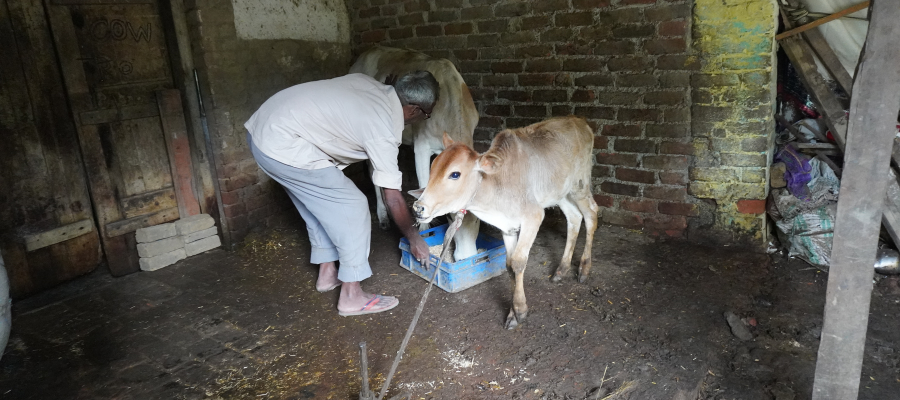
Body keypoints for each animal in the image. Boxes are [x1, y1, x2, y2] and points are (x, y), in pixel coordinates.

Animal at [349, 46, 481, 261]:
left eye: (479, 220)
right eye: (450, 215)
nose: (465, 258)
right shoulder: (421, 145)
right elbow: (424, 184)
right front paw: (424, 231)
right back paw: (383, 217)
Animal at [410, 116, 599, 329]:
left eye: (455, 174)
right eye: (432, 168)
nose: (419, 207)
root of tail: (580, 121)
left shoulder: (534, 216)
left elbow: (518, 262)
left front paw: (520, 311)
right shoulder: (507, 227)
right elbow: (509, 265)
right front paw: (512, 314)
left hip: (580, 185)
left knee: (591, 214)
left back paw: (584, 269)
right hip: (561, 193)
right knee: (574, 217)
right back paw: (562, 269)